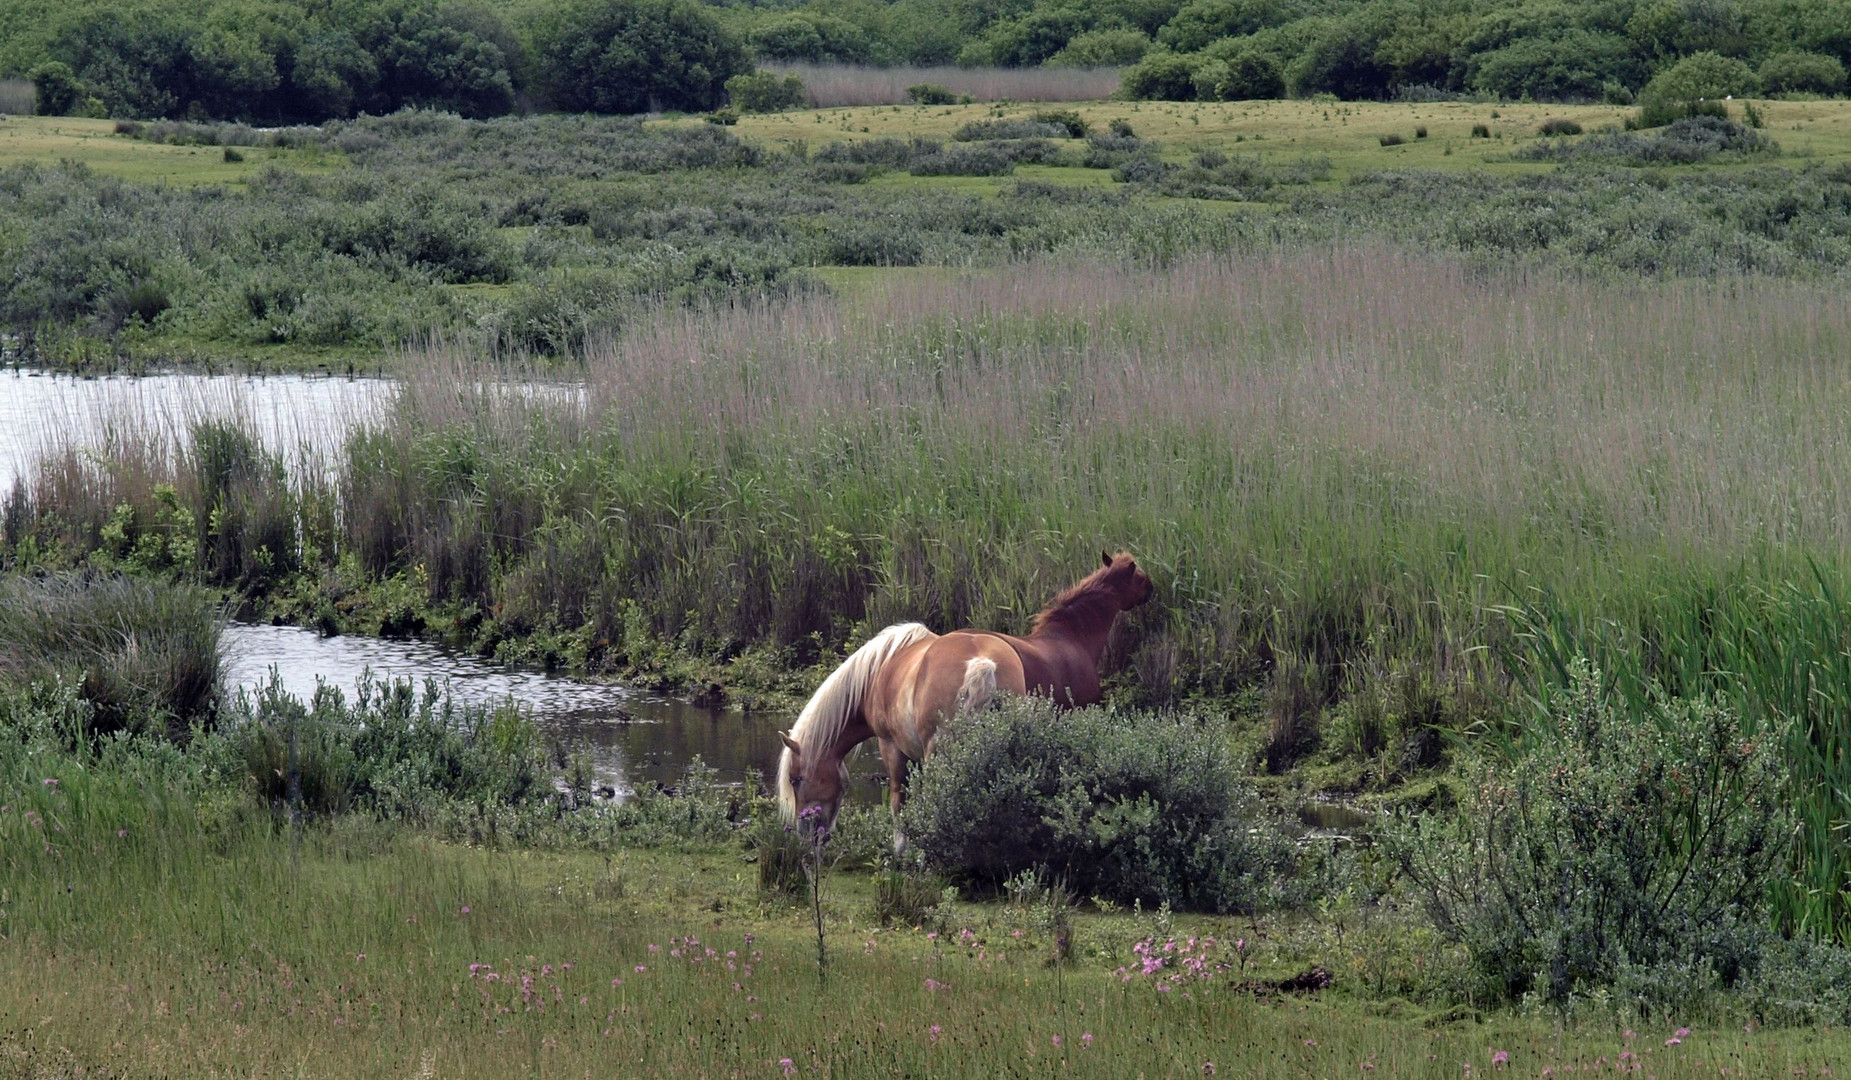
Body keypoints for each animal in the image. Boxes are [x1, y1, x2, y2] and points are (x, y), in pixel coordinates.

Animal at [781, 552, 1155, 848]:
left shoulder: (893, 748)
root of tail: (982, 661)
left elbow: (899, 800)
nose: (804, 832)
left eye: (796, 779)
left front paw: (902, 850)